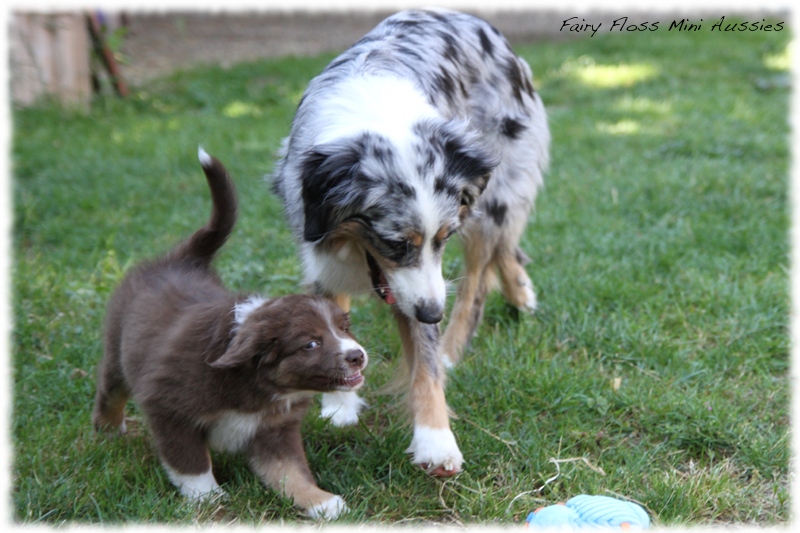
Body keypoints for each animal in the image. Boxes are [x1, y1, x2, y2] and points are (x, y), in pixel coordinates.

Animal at [94, 148, 366, 516]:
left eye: (344, 328)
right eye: (310, 344)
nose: (358, 356)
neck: (257, 385)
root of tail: (182, 260)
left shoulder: (275, 431)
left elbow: (290, 471)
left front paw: (321, 503)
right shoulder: (168, 408)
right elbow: (190, 462)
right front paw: (208, 499)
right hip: (118, 352)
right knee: (110, 391)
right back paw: (107, 432)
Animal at [272, 7, 548, 474]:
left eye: (443, 238)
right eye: (395, 242)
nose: (434, 314)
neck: (376, 117)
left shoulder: (422, 281)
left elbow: (426, 363)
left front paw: (436, 440)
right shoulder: (321, 246)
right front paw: (340, 402)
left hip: (493, 192)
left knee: (481, 273)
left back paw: (460, 342)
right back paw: (520, 291)